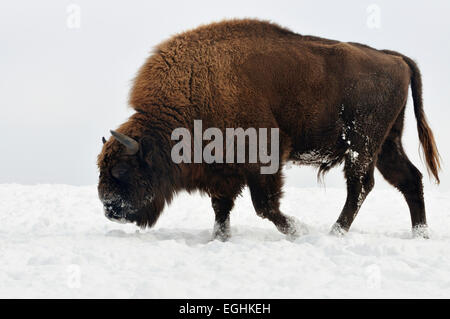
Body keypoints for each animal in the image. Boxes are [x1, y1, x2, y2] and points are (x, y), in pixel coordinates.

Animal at [97, 18, 440, 240]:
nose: (109, 208)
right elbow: (222, 207)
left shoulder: (263, 160)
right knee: (409, 179)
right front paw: (219, 238)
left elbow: (264, 206)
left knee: (360, 186)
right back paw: (419, 234)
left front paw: (299, 231)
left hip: (362, 144)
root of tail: (394, 58)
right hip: (386, 144)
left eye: (122, 170)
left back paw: (335, 232)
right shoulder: (223, 171)